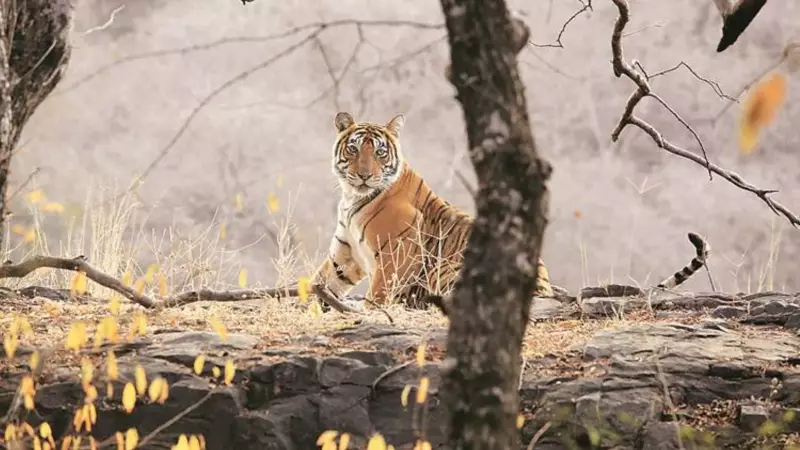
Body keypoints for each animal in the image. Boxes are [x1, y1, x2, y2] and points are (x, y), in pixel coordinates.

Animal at [310, 111, 555, 311]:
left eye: (380, 152)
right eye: (354, 149)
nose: (364, 175)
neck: (352, 197)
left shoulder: (396, 253)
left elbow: (378, 292)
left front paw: (370, 310)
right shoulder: (346, 252)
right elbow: (321, 281)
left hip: (447, 269)